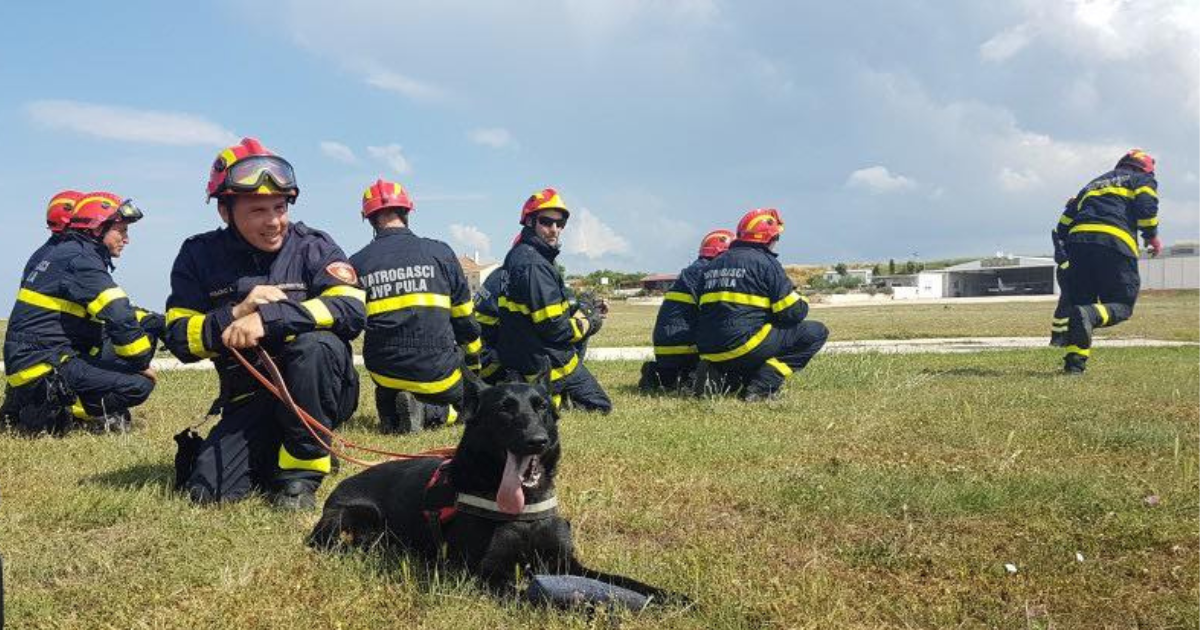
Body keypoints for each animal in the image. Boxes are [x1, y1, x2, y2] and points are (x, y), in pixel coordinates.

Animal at [307, 369, 686, 604]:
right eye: (504, 410)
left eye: (542, 407)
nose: (537, 440)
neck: (523, 507)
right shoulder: (489, 576)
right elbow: (547, 599)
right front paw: (593, 608)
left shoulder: (568, 565)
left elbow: (627, 582)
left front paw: (675, 598)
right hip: (360, 516)